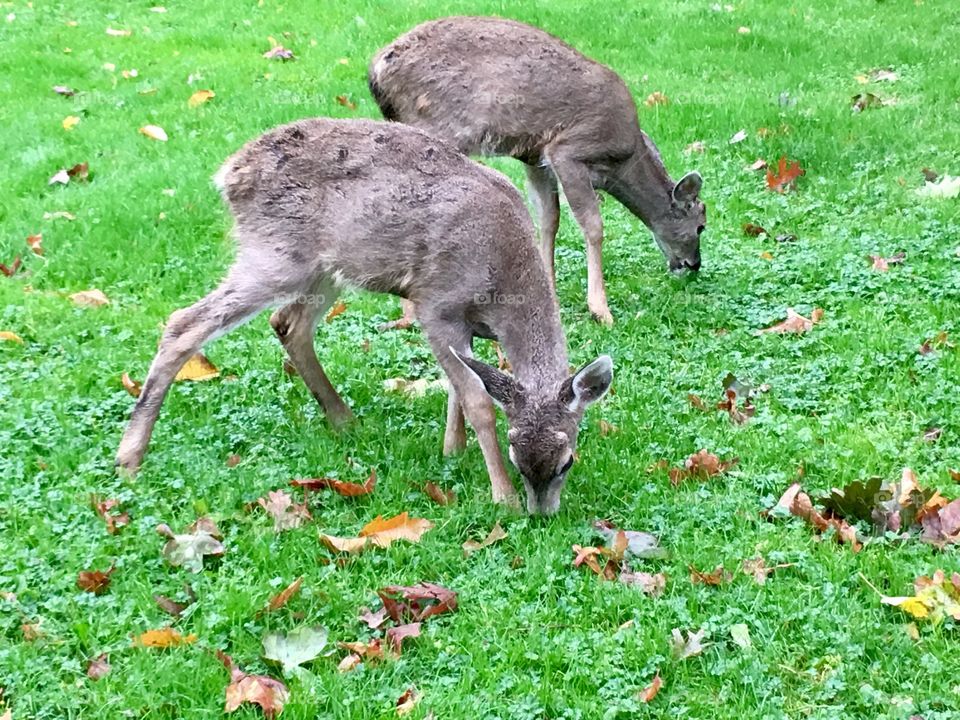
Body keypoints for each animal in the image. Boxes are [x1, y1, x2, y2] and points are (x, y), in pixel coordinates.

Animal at [114, 118, 613, 515]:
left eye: (567, 460)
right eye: (516, 459)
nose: (542, 513)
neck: (503, 279)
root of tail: (229, 173)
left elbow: (457, 387)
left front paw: (451, 451)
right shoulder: (434, 305)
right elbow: (475, 400)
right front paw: (501, 497)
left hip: (323, 270)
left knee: (287, 324)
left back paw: (345, 421)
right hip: (275, 255)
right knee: (184, 322)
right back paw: (129, 458)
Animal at [369, 16, 706, 326]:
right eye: (701, 225)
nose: (693, 264)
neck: (622, 160)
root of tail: (377, 69)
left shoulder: (535, 159)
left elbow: (548, 219)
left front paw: (550, 291)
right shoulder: (568, 150)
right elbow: (593, 225)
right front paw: (601, 310)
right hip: (439, 127)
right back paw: (412, 313)